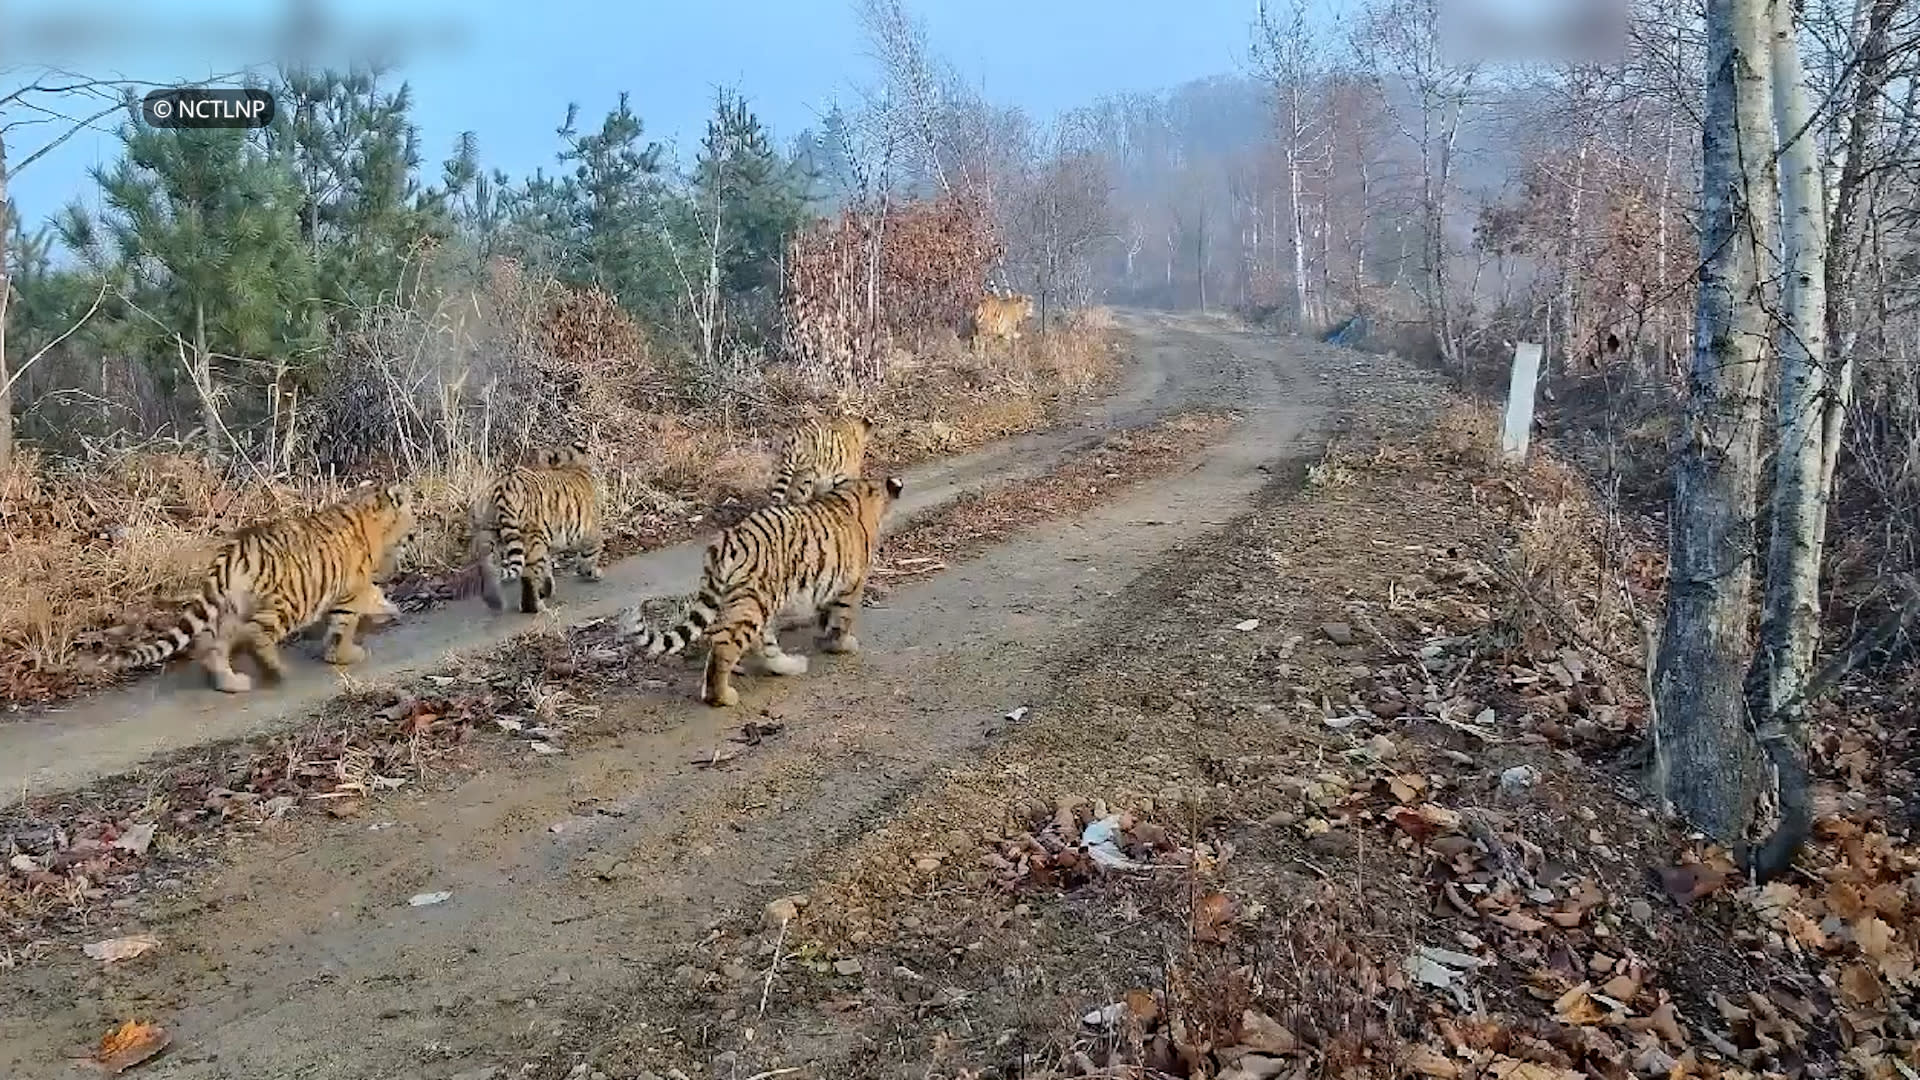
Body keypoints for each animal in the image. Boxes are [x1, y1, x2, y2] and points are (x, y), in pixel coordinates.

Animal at [88, 484, 417, 694]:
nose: (415, 533)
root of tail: (233, 551)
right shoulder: (349, 591)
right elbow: (344, 625)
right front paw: (345, 654)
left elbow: (373, 598)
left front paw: (390, 610)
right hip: (288, 603)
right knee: (257, 635)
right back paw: (276, 671)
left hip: (229, 610)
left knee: (213, 647)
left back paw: (232, 684)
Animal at [472, 438, 605, 615]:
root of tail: (503, 489)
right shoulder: (590, 532)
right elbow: (589, 556)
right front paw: (593, 573)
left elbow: (547, 568)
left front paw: (547, 589)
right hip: (533, 539)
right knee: (528, 577)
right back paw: (536, 607)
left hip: (488, 533)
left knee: (489, 568)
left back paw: (494, 601)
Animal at [617, 475, 904, 707]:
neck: (854, 493)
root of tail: (728, 540)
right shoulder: (850, 585)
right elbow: (842, 619)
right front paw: (843, 645)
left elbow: (827, 616)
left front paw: (826, 639)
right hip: (755, 602)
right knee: (724, 646)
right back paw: (722, 697)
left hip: (756, 602)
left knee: (763, 645)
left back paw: (790, 666)